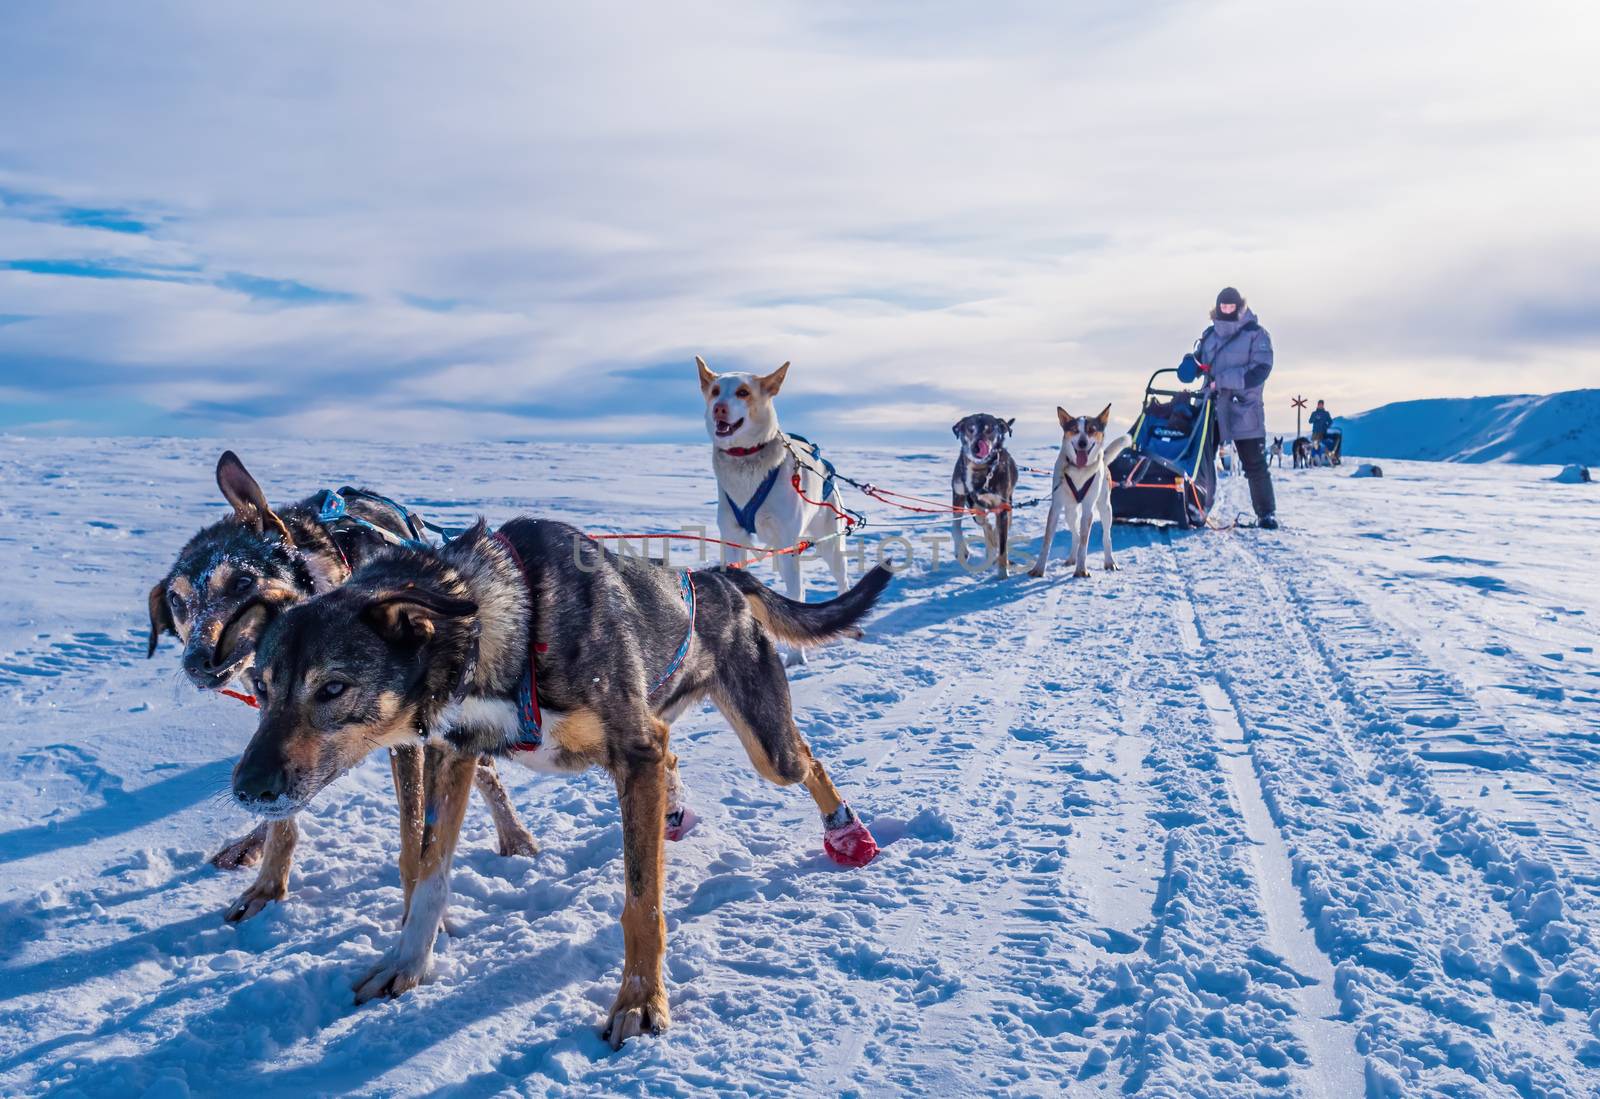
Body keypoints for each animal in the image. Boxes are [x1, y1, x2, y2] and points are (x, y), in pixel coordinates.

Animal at [233, 521, 896, 1043]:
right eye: (261, 687)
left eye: (333, 687)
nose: (245, 789)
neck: (506, 622)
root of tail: (720, 577)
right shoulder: (454, 755)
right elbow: (428, 875)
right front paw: (407, 962)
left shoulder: (635, 750)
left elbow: (642, 904)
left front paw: (640, 1000)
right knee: (677, 756)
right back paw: (677, 813)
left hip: (766, 750)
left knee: (805, 760)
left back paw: (845, 831)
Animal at [697, 358, 851, 620]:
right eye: (715, 391)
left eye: (743, 392)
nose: (719, 408)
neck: (746, 456)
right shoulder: (733, 538)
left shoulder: (789, 544)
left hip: (831, 546)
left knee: (842, 581)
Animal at [1030, 401, 1132, 575]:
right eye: (1074, 430)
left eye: (1092, 430)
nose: (1082, 443)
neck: (1079, 470)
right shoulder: (1056, 507)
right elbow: (1047, 541)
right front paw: (1038, 568)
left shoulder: (1088, 508)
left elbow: (1085, 543)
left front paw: (1081, 570)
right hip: (1070, 512)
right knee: (1076, 535)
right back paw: (1072, 558)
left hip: (1105, 508)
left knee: (1106, 536)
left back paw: (1109, 561)